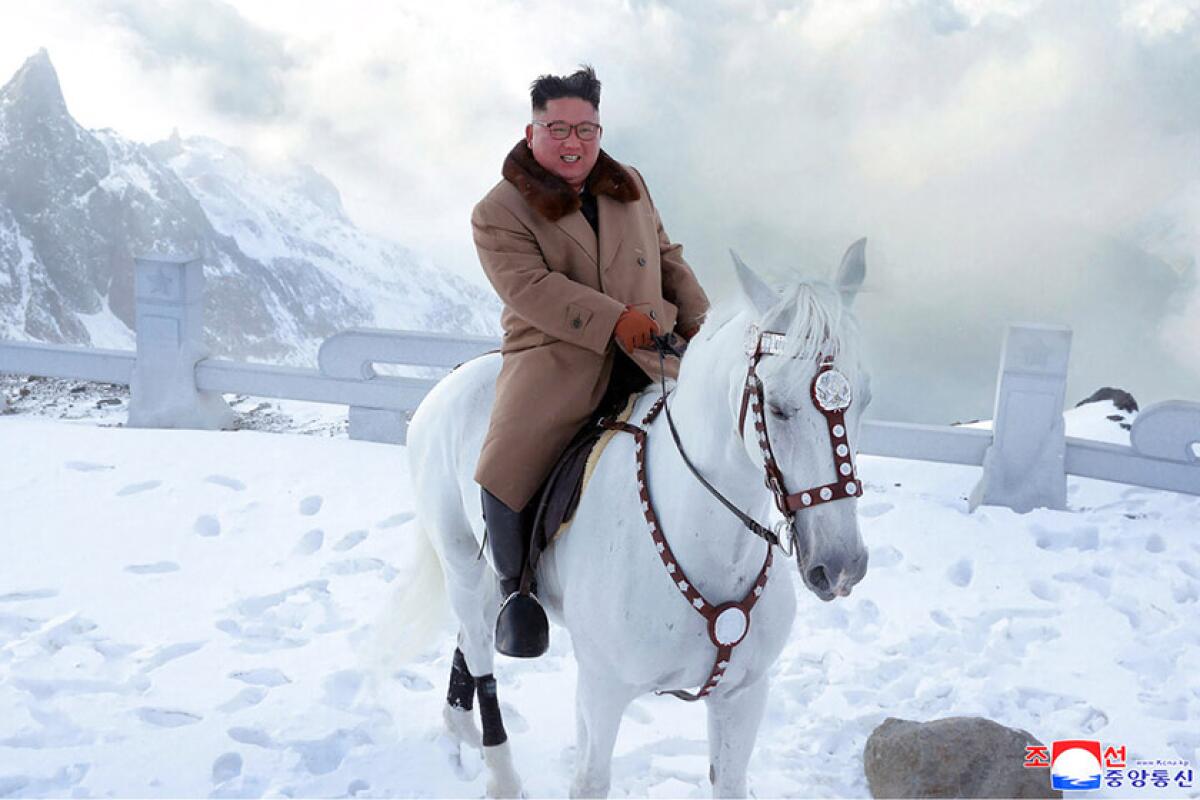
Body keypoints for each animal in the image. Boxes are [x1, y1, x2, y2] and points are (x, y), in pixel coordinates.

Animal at [403, 247, 873, 796]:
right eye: (776, 407)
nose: (840, 566)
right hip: (459, 558)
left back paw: (458, 727)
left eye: (864, 400)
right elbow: (590, 780)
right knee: (478, 647)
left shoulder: (743, 695)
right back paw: (501, 773)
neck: (709, 542)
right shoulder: (602, 691)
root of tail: (452, 378)